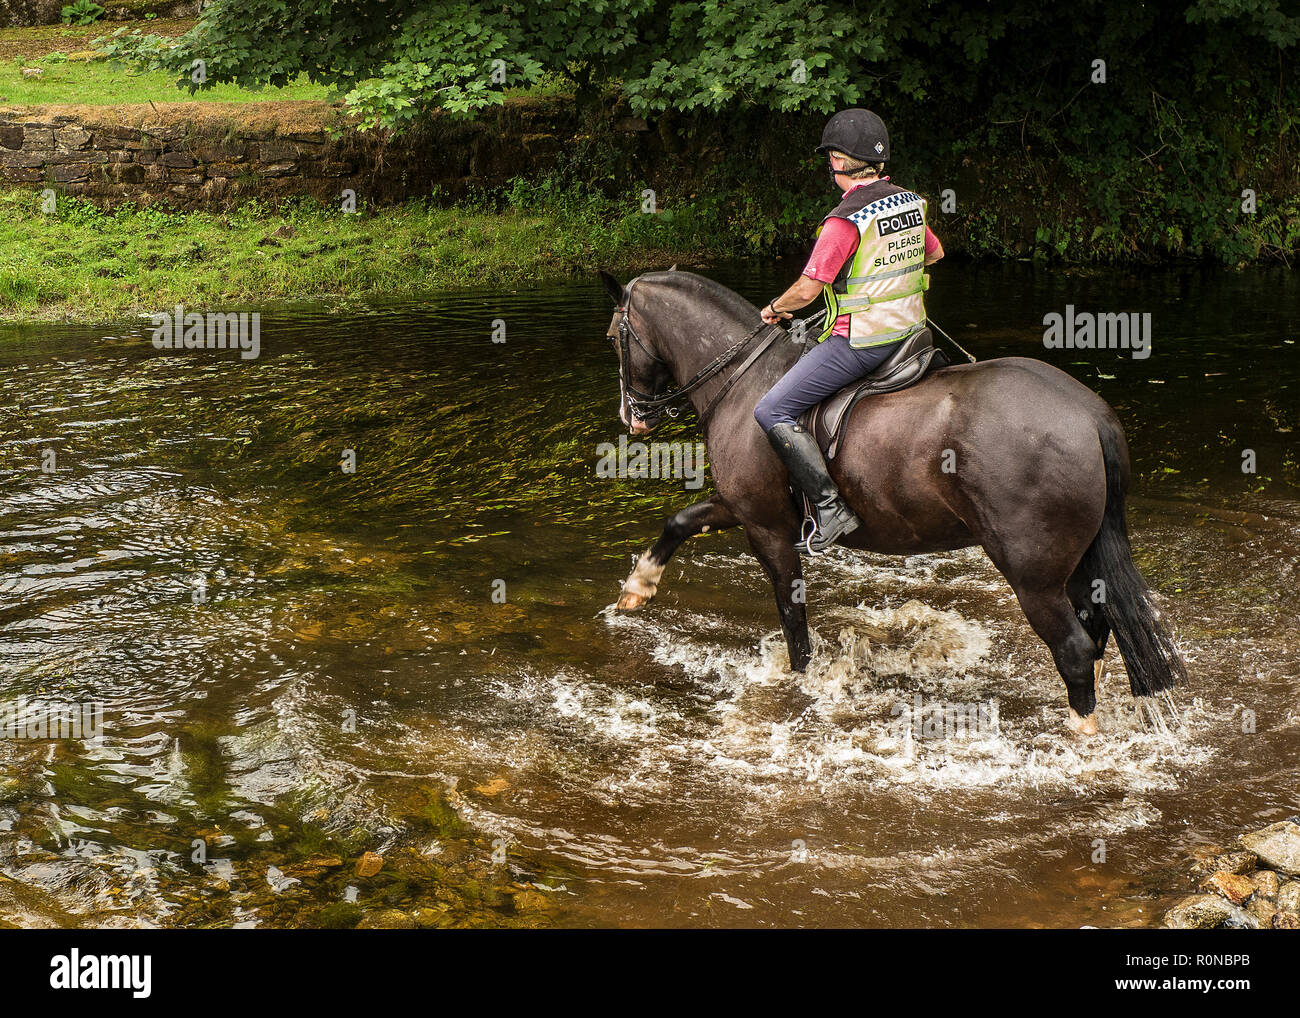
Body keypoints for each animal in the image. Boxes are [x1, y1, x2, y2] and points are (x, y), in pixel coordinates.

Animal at [599, 268, 1187, 735]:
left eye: (612, 337)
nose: (633, 416)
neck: (744, 382)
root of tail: (1087, 413)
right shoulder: (745, 508)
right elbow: (681, 521)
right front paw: (636, 588)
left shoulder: (767, 529)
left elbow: (793, 622)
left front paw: (802, 682)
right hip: (1078, 561)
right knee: (1096, 629)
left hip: (1033, 575)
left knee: (1074, 648)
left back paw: (1081, 733)